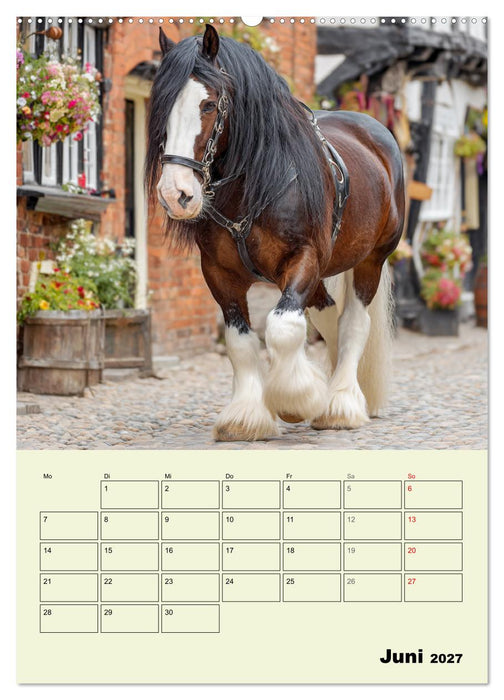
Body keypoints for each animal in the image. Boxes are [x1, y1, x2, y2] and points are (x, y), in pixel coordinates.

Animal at [146, 24, 405, 442]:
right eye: (162, 104)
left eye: (208, 105)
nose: (175, 194)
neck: (255, 183)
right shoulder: (219, 273)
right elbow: (240, 341)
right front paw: (246, 417)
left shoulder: (303, 258)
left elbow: (281, 327)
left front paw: (295, 400)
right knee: (327, 316)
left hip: (371, 260)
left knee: (352, 324)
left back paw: (341, 402)